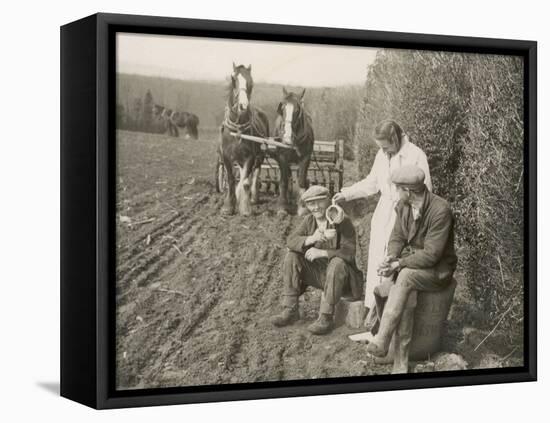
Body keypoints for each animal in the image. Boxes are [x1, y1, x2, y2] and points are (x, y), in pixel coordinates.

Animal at [221, 64, 270, 217]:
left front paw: (245, 207)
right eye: (233, 80)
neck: (237, 130)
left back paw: (253, 197)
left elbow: (245, 181)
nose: (243, 105)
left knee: (255, 173)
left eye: (251, 82)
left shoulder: (250, 156)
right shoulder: (225, 156)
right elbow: (231, 179)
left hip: (260, 156)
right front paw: (228, 206)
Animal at [272, 88, 314, 217]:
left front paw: (302, 207)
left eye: (297, 110)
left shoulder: (305, 157)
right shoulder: (282, 158)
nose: (286, 138)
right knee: (288, 177)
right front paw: (282, 207)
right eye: (282, 108)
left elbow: (301, 180)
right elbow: (284, 182)